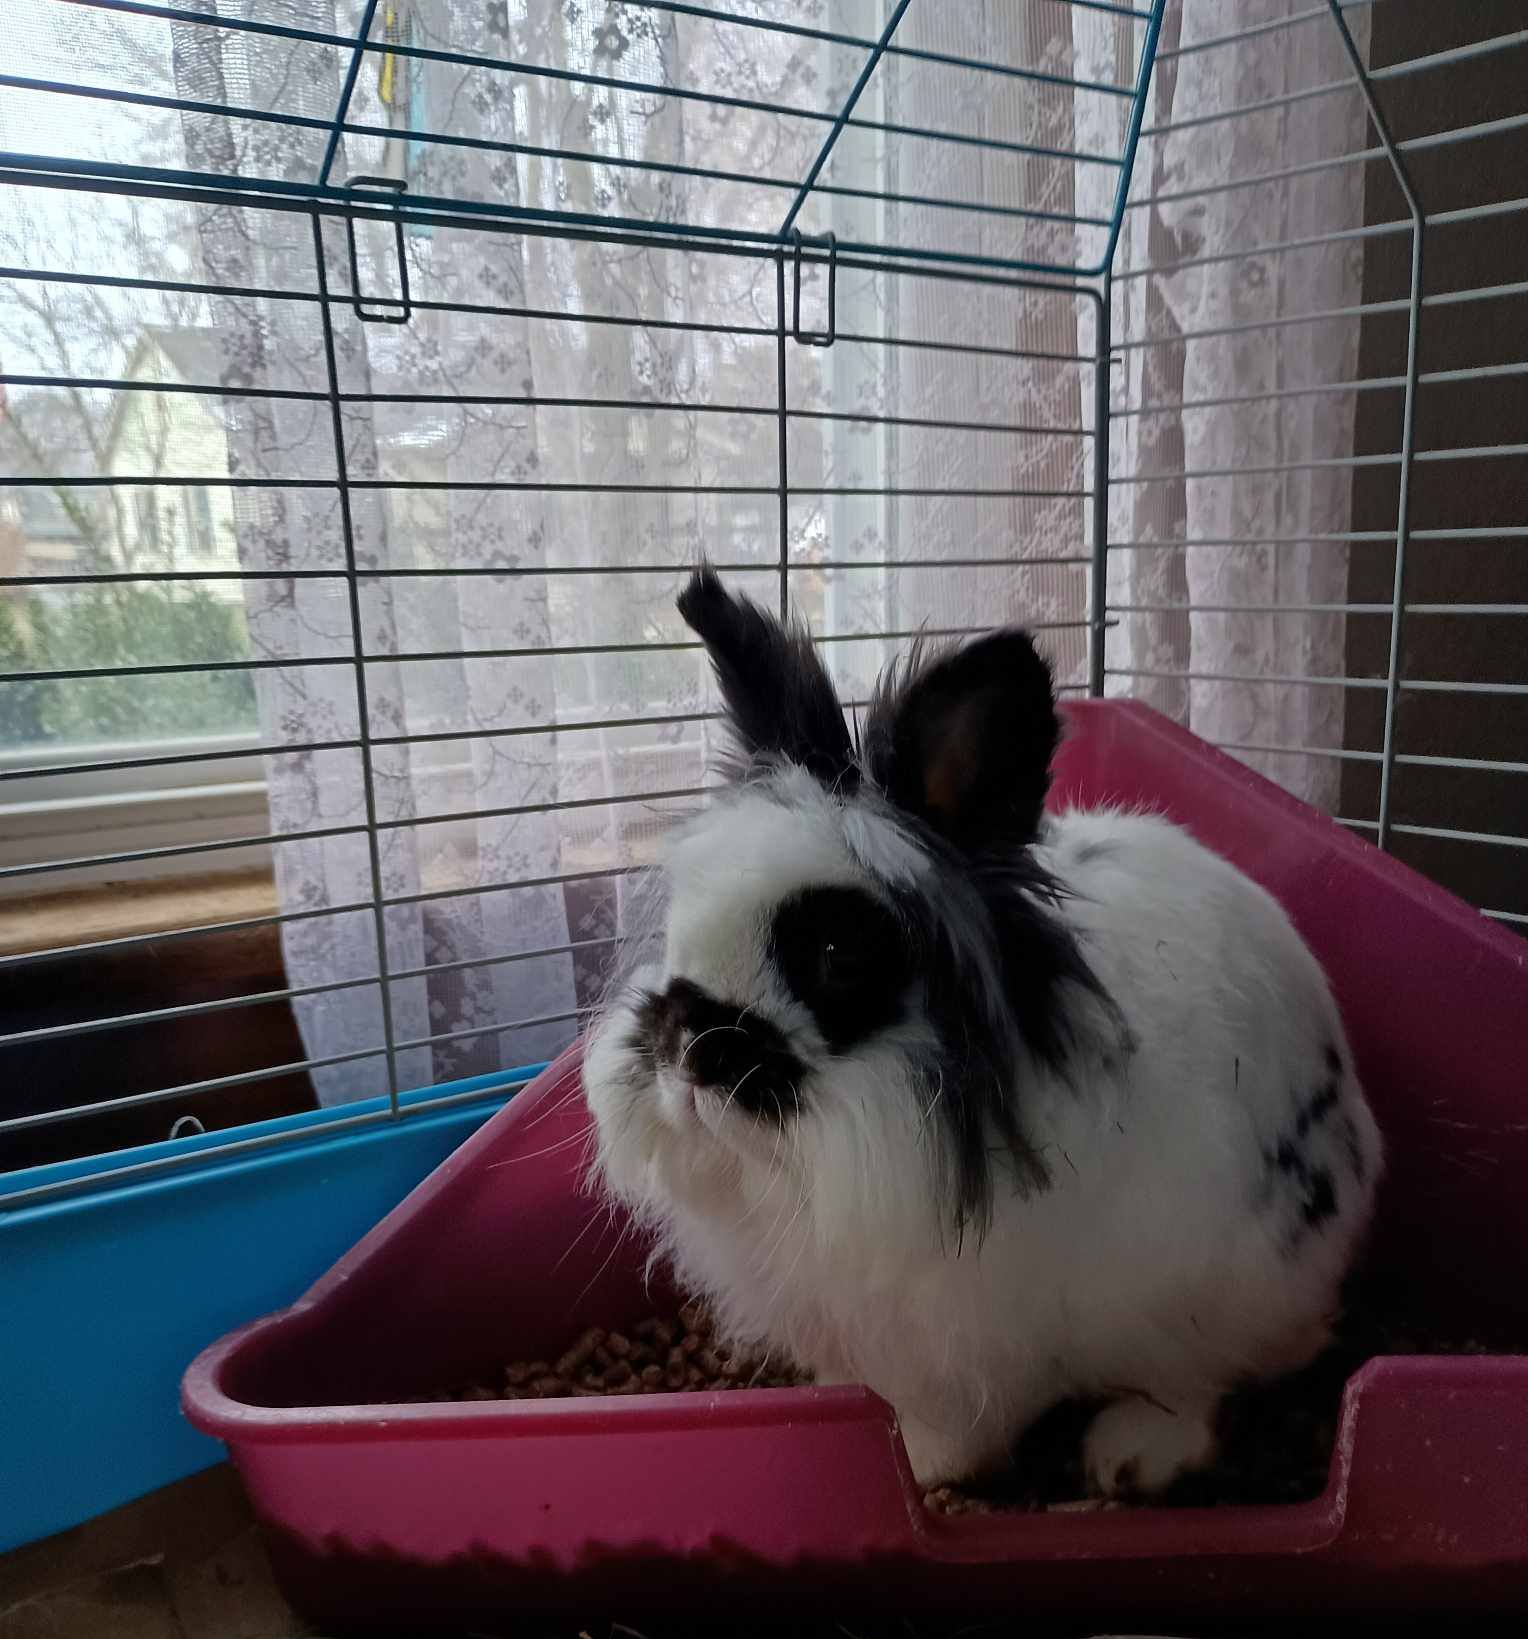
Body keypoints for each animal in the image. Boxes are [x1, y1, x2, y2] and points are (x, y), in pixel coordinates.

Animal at [582, 564, 1383, 1496]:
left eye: (837, 955)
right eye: (681, 917)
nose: (689, 1043)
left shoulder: (976, 1346)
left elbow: (961, 1423)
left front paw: (926, 1467)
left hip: (1228, 1285)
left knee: (1201, 1384)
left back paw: (1130, 1453)